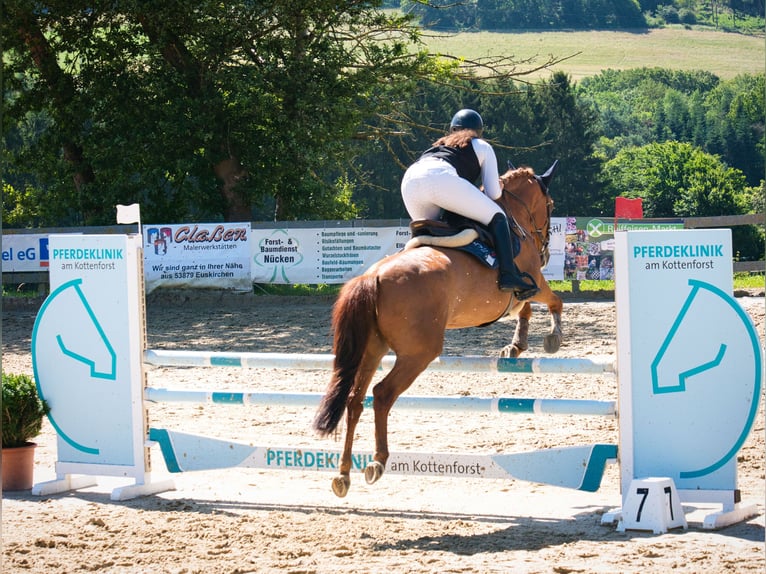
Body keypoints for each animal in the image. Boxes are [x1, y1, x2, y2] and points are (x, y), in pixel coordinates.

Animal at [314, 160, 564, 498]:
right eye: (550, 205)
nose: (546, 252)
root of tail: (373, 277)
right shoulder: (533, 281)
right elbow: (554, 300)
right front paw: (553, 337)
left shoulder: (521, 292)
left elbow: (524, 309)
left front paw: (515, 346)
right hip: (419, 352)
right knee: (382, 394)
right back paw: (378, 461)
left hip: (373, 348)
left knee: (355, 399)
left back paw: (343, 474)